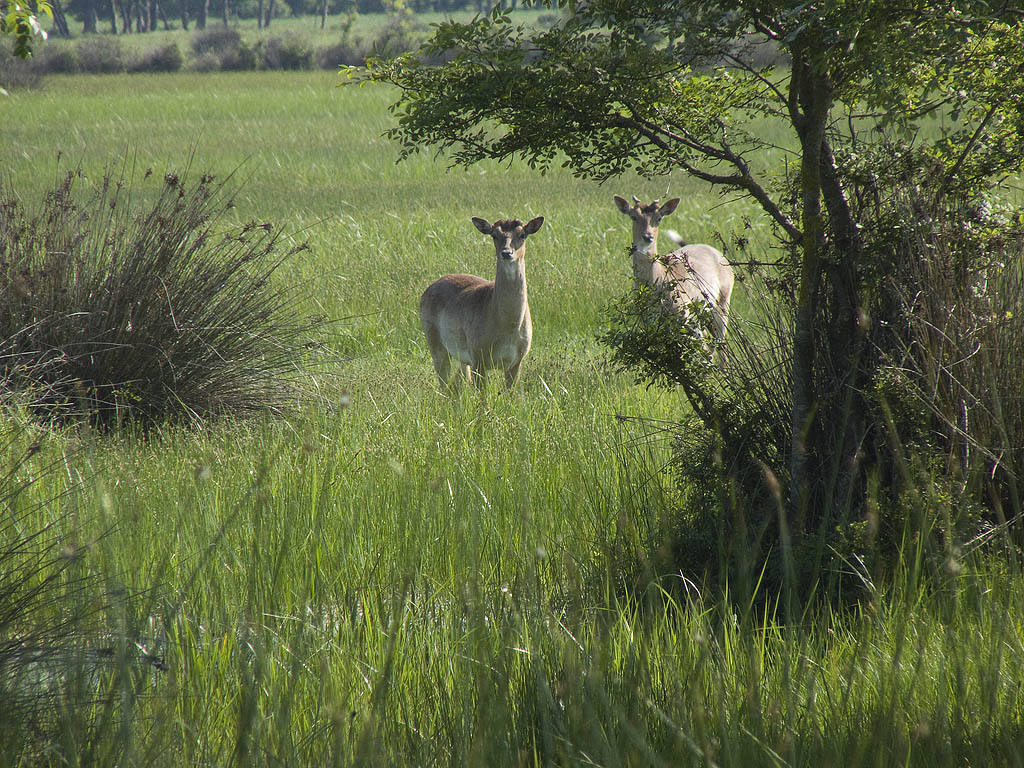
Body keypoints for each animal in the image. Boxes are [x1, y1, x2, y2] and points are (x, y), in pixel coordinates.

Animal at [417, 215, 544, 391]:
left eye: (523, 234)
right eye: (494, 235)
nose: (506, 253)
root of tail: (426, 290)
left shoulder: (517, 360)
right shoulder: (478, 355)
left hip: (462, 356)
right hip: (434, 341)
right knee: (444, 384)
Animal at [610, 195, 733, 358]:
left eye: (659, 218)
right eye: (633, 216)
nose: (647, 237)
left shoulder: (683, 315)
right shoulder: (647, 321)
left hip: (723, 300)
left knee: (719, 347)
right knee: (709, 346)